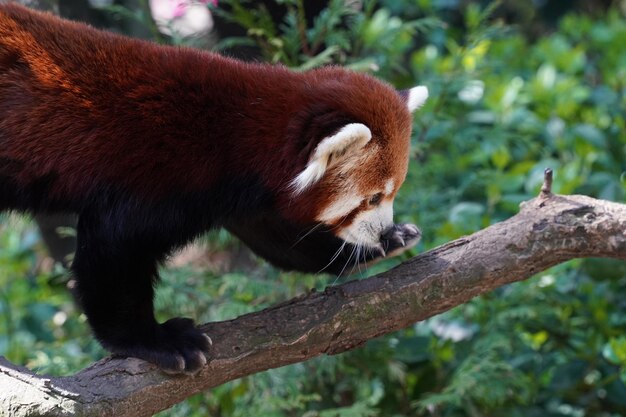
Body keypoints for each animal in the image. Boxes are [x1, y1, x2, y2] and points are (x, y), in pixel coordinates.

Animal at [0, 4, 424, 374]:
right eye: (372, 197)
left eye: (393, 194)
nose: (383, 230)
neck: (236, 132)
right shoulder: (155, 178)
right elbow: (110, 254)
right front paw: (152, 340)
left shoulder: (246, 200)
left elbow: (282, 242)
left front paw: (381, 245)